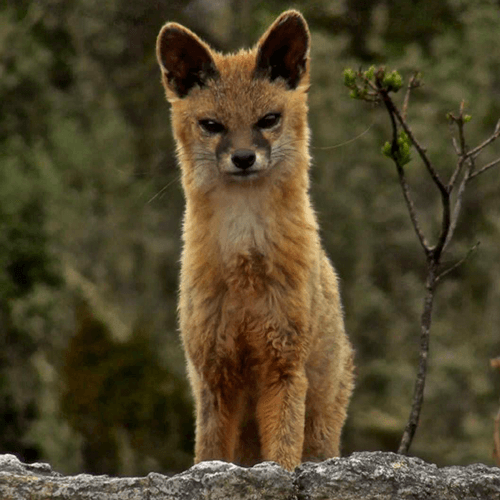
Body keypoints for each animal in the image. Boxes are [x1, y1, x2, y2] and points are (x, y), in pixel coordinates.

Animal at [156, 9, 356, 470]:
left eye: (268, 120)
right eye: (212, 125)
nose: (244, 158)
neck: (244, 265)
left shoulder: (282, 367)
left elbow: (282, 452)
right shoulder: (214, 374)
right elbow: (209, 454)